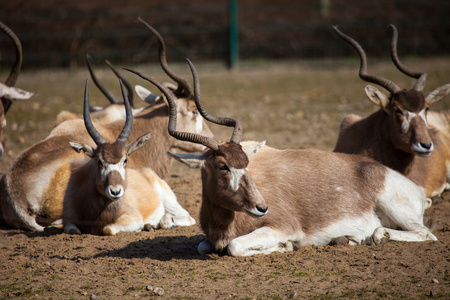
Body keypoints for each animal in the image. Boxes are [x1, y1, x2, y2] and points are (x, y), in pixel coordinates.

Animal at [62, 79, 194, 234]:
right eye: (99, 161)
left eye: (125, 160)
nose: (115, 191)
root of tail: (146, 172)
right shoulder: (68, 221)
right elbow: (72, 229)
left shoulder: (132, 218)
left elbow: (108, 229)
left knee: (185, 218)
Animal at [129, 59, 436, 258]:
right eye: (222, 166)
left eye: (247, 163)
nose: (261, 207)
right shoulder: (209, 240)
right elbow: (204, 245)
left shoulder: (282, 227)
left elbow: (234, 246)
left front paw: (284, 247)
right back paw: (347, 239)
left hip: (395, 209)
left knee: (424, 234)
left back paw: (377, 236)